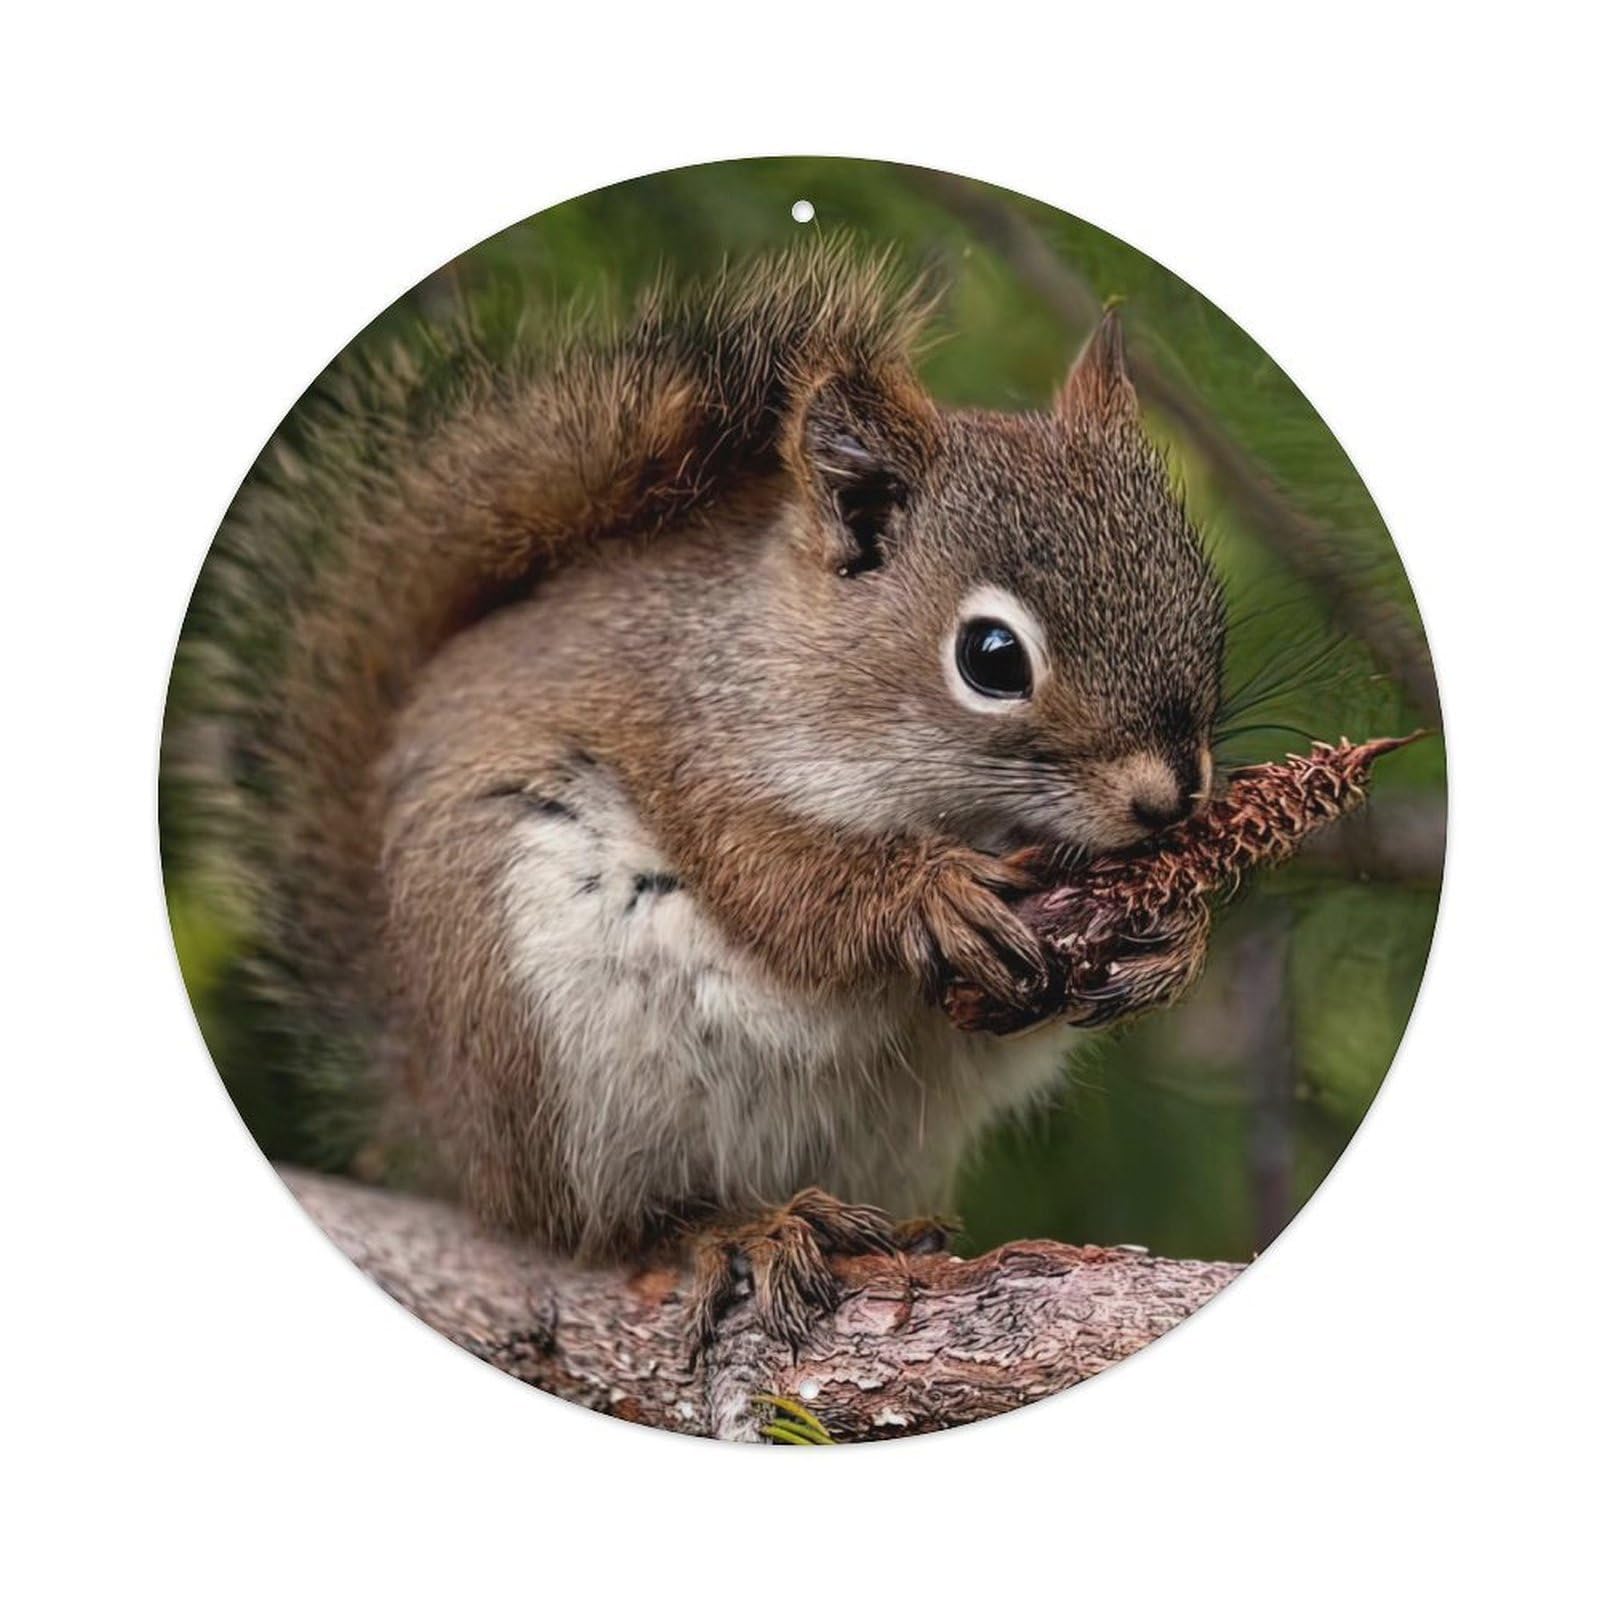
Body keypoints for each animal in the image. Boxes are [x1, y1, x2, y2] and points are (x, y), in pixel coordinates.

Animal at [197, 241, 1226, 1347]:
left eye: (1204, 601)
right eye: (992, 658)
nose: (1170, 801)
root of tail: (434, 1109)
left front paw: (1175, 936)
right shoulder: (697, 756)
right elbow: (778, 887)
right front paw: (928, 894)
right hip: (547, 1037)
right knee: (603, 1225)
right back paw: (741, 1229)